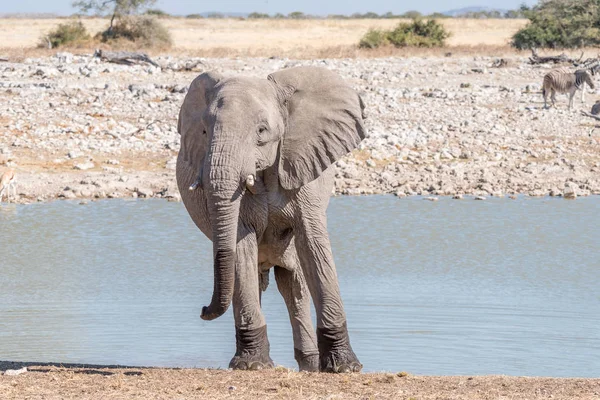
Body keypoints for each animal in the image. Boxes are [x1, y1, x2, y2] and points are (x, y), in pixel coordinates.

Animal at [176, 65, 366, 372]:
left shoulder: (301, 170)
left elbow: (314, 246)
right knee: (255, 278)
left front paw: (345, 367)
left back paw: (310, 364)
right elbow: (240, 247)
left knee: (294, 284)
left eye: (262, 131)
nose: (203, 310)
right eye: (204, 131)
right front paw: (251, 365)